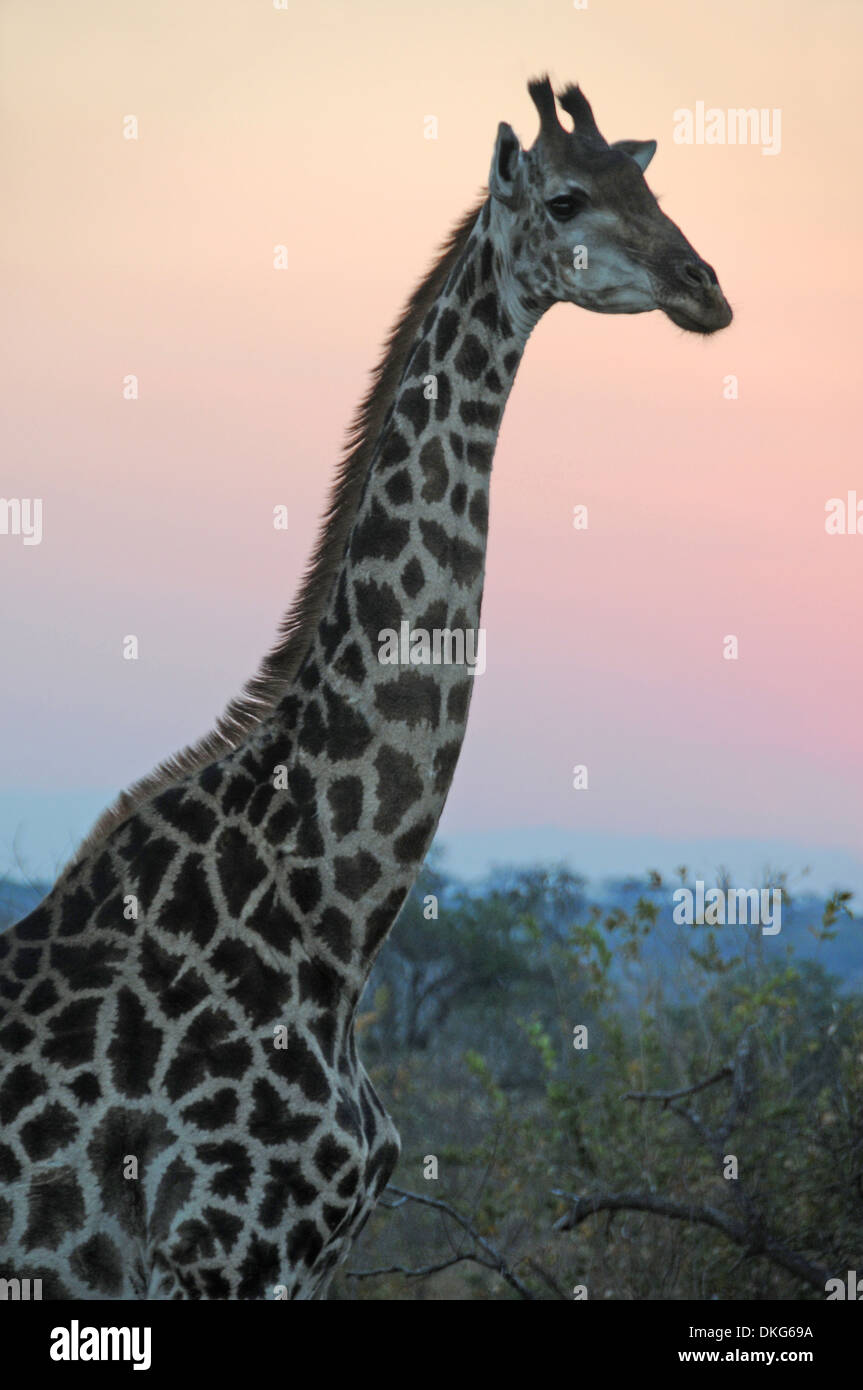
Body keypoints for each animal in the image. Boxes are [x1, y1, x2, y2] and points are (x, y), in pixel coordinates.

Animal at [0, 77, 731, 1300]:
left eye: (651, 190)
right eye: (568, 198)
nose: (703, 287)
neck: (330, 918)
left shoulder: (312, 1254)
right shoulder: (220, 1256)